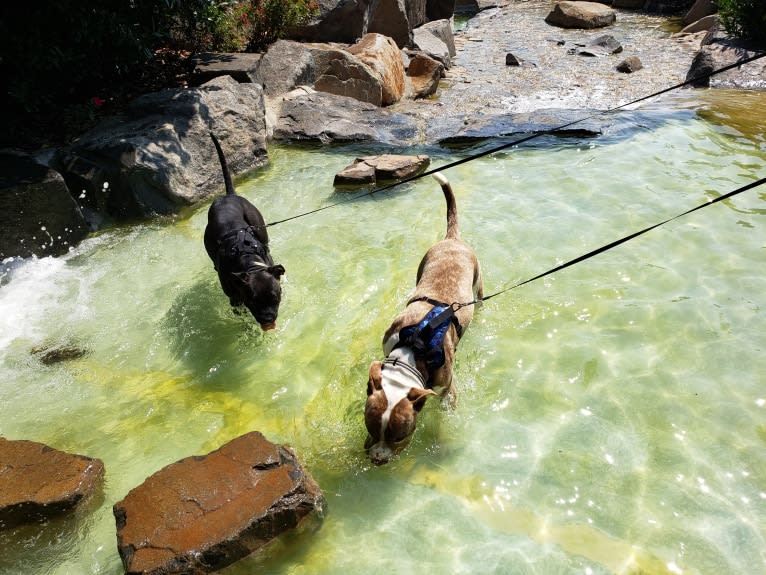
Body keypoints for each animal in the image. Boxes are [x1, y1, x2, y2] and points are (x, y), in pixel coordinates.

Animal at [206, 133, 286, 330]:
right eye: (252, 301)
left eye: (275, 297)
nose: (267, 319)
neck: (249, 262)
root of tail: (229, 196)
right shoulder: (235, 300)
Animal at [364, 173, 484, 466]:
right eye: (369, 427)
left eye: (400, 435)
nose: (378, 459)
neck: (413, 350)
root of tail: (451, 238)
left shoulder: (447, 388)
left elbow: (444, 408)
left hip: (478, 281)